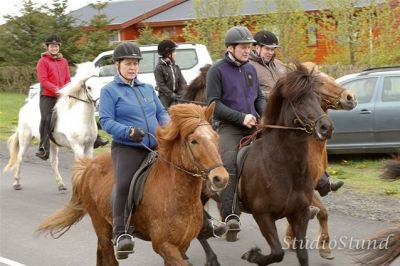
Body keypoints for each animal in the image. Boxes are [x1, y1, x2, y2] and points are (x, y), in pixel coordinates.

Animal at [2, 61, 98, 191]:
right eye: (89, 87)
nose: (99, 102)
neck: (82, 118)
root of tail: (25, 107)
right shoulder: (77, 146)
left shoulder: (89, 146)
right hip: (25, 136)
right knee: (20, 157)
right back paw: (16, 183)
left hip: (52, 143)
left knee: (53, 162)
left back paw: (60, 184)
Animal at [36, 103, 230, 266]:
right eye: (194, 141)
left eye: (215, 137)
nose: (220, 177)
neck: (176, 194)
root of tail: (88, 167)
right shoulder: (164, 246)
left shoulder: (181, 245)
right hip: (101, 225)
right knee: (109, 257)